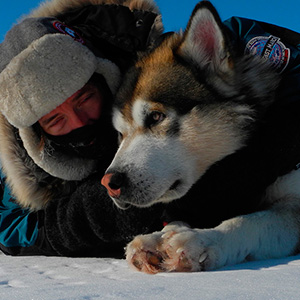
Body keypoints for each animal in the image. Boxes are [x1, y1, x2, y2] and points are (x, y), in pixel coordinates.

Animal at [101, 0, 300, 274]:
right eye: (121, 133)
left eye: (155, 117)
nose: (109, 183)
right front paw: (160, 236)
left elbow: (250, 222)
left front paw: (204, 239)